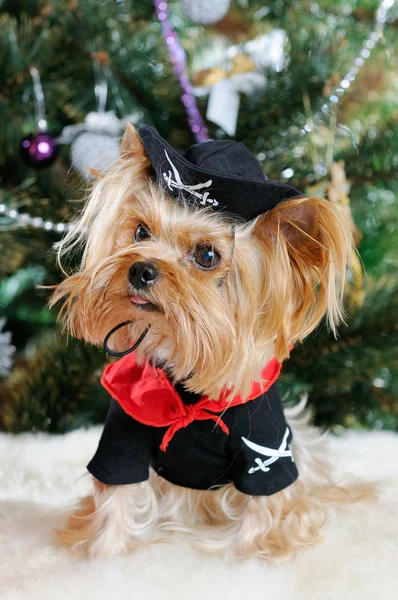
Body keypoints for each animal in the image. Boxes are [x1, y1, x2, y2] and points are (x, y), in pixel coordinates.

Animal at [51, 123, 372, 564]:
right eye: (140, 231)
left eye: (207, 255)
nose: (140, 269)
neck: (187, 390)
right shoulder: (123, 435)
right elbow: (115, 498)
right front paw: (106, 552)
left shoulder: (265, 452)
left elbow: (264, 512)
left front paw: (246, 555)